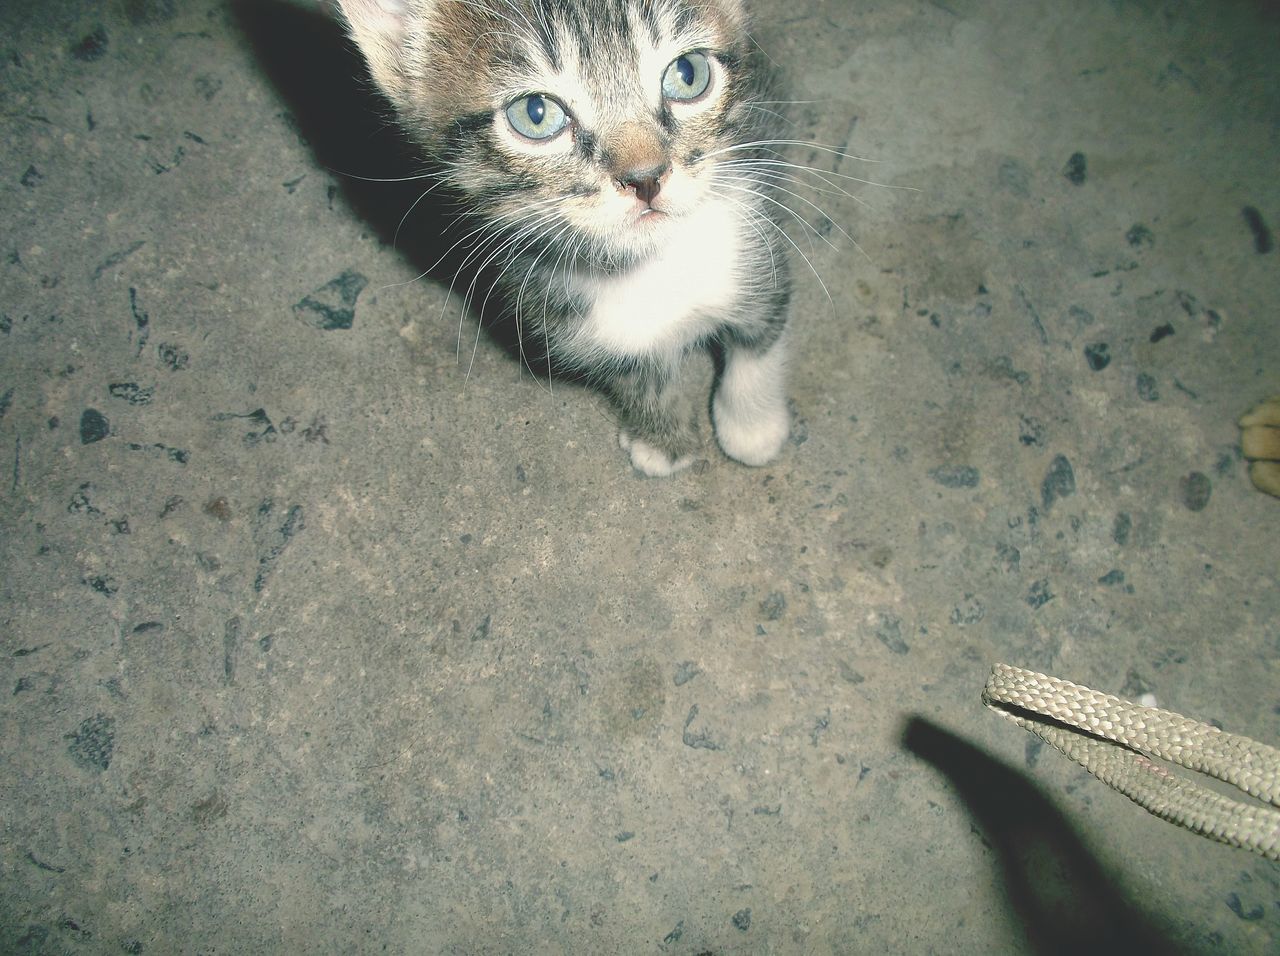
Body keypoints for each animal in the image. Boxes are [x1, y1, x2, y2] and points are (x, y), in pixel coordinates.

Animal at [337, 0, 798, 476]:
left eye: (688, 74)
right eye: (536, 113)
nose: (645, 178)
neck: (650, 267)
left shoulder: (758, 246)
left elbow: (760, 341)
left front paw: (753, 428)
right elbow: (636, 375)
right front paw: (662, 437)